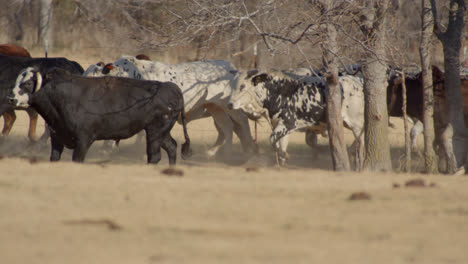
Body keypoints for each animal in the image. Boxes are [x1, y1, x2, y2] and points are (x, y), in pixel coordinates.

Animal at [7, 67, 190, 164]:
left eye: (27, 83)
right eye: (17, 81)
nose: (11, 98)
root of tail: (170, 88)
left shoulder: (83, 141)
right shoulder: (57, 139)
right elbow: (54, 157)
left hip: (154, 132)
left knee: (154, 156)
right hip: (161, 132)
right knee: (172, 147)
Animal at [229, 69, 364, 166]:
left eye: (242, 86)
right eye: (233, 85)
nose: (229, 104)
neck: (279, 92)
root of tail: (358, 81)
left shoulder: (288, 123)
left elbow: (272, 140)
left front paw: (284, 155)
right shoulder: (280, 125)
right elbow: (280, 144)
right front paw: (280, 163)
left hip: (356, 124)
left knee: (361, 144)